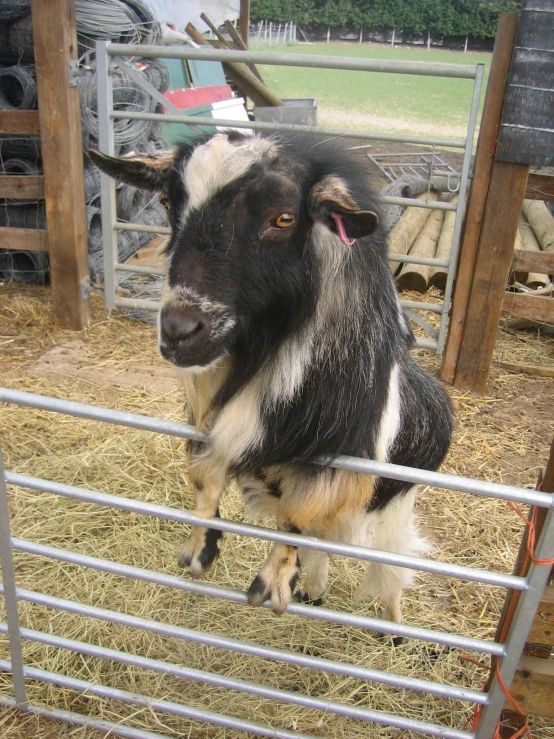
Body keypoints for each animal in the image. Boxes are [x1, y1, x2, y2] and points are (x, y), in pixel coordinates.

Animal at [90, 133, 450, 624]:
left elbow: (296, 517)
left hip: (394, 510)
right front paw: (199, 552)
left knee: (391, 566)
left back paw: (393, 626)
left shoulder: (329, 466)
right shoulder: (213, 426)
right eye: (167, 201)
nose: (180, 331)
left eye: (284, 218)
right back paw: (315, 590)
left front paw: (272, 585)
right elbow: (207, 481)